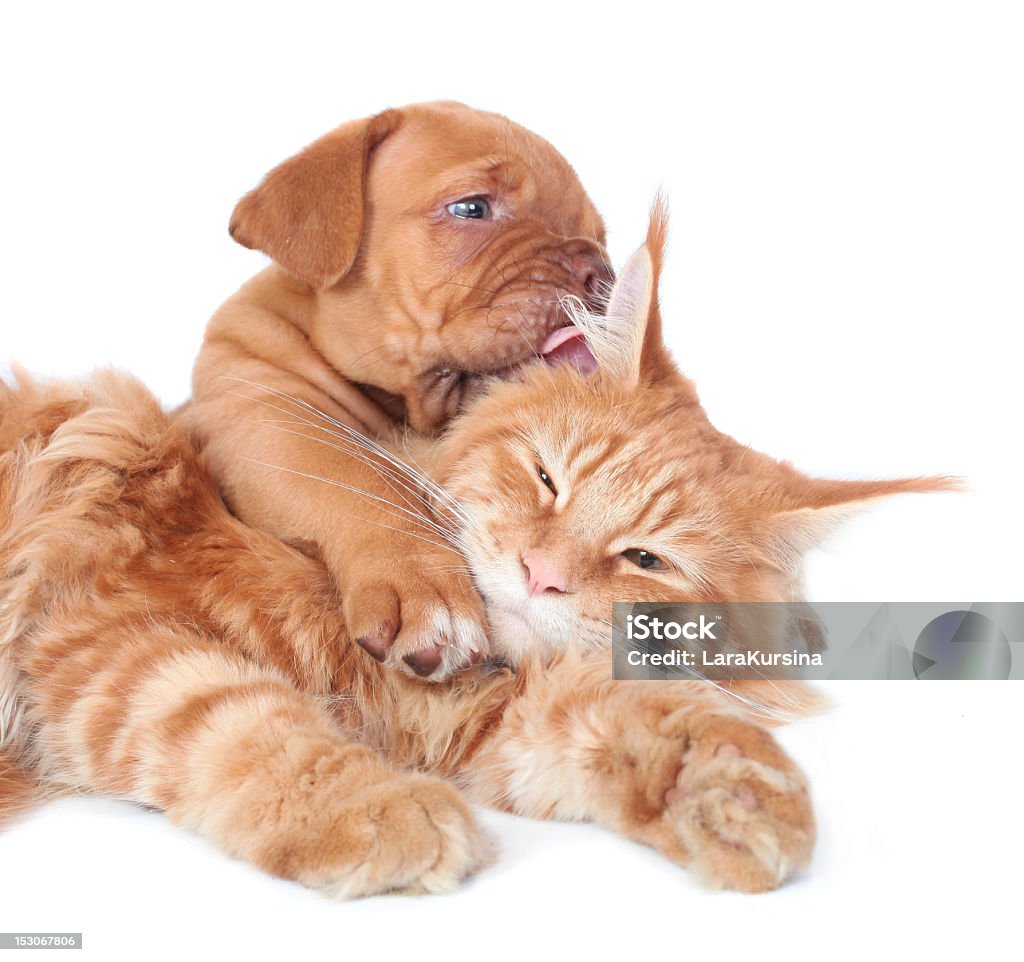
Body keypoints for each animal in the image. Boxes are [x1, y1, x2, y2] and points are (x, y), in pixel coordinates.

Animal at [0, 208, 946, 893]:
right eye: (546, 478)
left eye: (646, 560)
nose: (542, 575)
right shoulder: (111, 625)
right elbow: (242, 720)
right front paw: (380, 810)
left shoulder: (485, 718)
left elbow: (628, 717)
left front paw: (731, 790)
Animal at [183, 101, 606, 680]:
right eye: (471, 208)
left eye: (601, 237)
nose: (602, 272)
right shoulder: (268, 421)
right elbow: (356, 479)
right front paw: (424, 584)